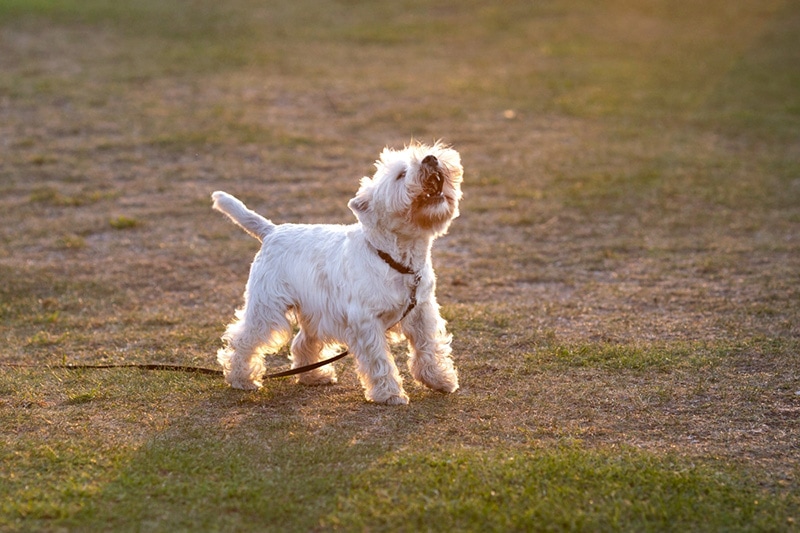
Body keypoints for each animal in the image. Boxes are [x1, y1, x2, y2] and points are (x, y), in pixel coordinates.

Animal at [212, 141, 462, 404]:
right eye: (401, 174)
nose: (431, 159)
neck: (397, 259)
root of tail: (271, 231)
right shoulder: (366, 321)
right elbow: (380, 360)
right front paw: (390, 394)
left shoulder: (423, 311)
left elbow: (429, 347)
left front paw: (439, 379)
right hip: (267, 308)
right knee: (243, 338)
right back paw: (242, 379)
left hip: (313, 312)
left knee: (302, 342)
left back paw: (314, 376)